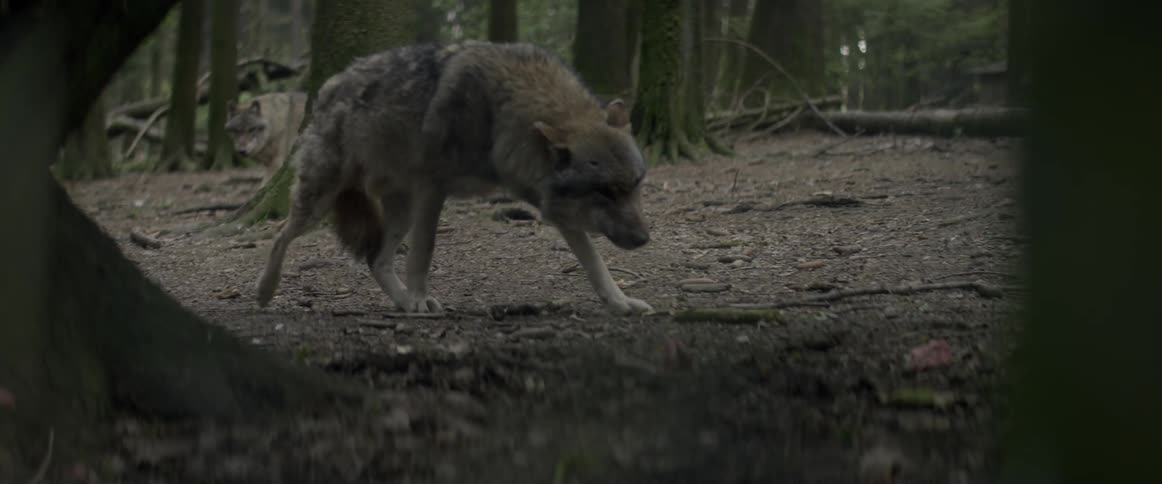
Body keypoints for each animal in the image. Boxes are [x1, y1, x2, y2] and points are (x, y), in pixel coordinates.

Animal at [254, 41, 654, 316]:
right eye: (606, 192)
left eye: (635, 185)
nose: (644, 239)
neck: (503, 110)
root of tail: (328, 85)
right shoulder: (434, 187)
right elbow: (424, 253)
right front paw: (419, 299)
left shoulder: (554, 207)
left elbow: (595, 263)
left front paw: (622, 303)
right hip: (321, 200)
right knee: (279, 234)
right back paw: (264, 291)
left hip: (401, 208)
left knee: (376, 261)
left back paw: (400, 302)